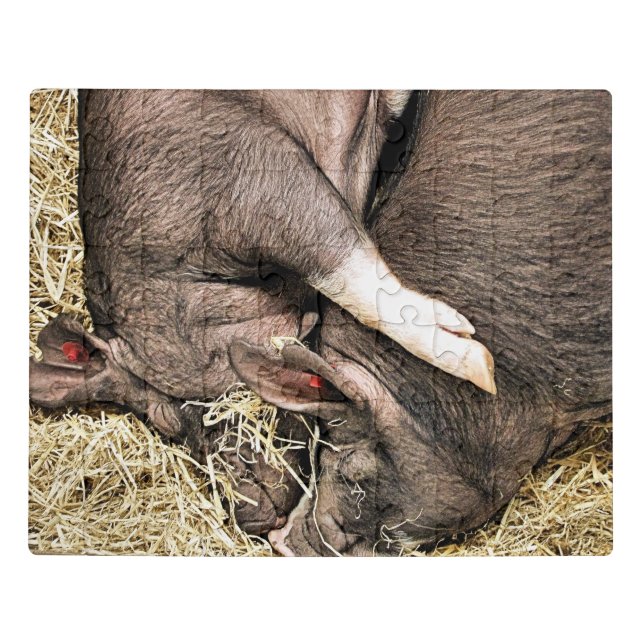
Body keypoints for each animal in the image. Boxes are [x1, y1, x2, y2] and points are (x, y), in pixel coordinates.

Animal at [29, 90, 492, 534]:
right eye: (166, 431)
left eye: (173, 416)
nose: (248, 517)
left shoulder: (252, 177)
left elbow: (345, 266)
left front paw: (478, 363)